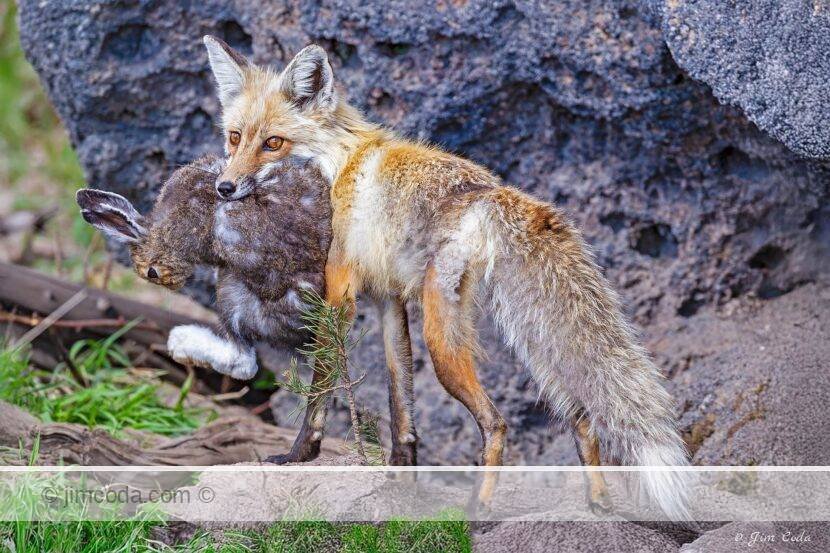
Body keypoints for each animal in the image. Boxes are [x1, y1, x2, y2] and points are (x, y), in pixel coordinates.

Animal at [76, 154, 332, 380]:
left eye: (152, 273)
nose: (172, 286)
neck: (164, 231)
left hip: (232, 293)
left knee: (243, 363)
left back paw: (181, 342)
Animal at [201, 35, 691, 519]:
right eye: (235, 137)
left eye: (274, 143)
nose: (224, 187)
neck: (337, 165)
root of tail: (493, 192)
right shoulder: (388, 299)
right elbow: (401, 401)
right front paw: (401, 479)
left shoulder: (339, 293)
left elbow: (322, 387)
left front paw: (300, 454)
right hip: (533, 341)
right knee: (583, 416)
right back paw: (598, 503)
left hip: (442, 336)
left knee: (497, 422)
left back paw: (479, 507)